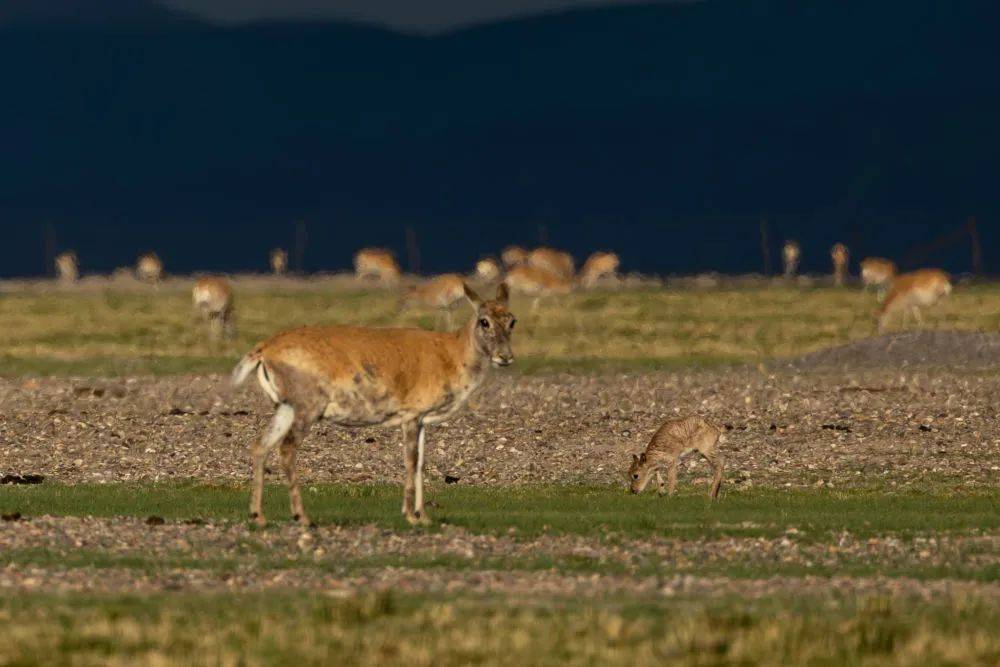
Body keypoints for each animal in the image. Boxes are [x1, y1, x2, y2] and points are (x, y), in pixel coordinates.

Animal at [232, 282, 516, 528]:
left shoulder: (423, 420)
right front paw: (410, 516)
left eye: (512, 320)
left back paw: (258, 515)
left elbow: (422, 463)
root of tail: (264, 349)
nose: (506, 357)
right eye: (484, 320)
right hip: (307, 408)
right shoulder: (411, 415)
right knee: (287, 449)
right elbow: (410, 461)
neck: (452, 354)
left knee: (260, 446)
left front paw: (423, 516)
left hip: (285, 408)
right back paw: (302, 517)